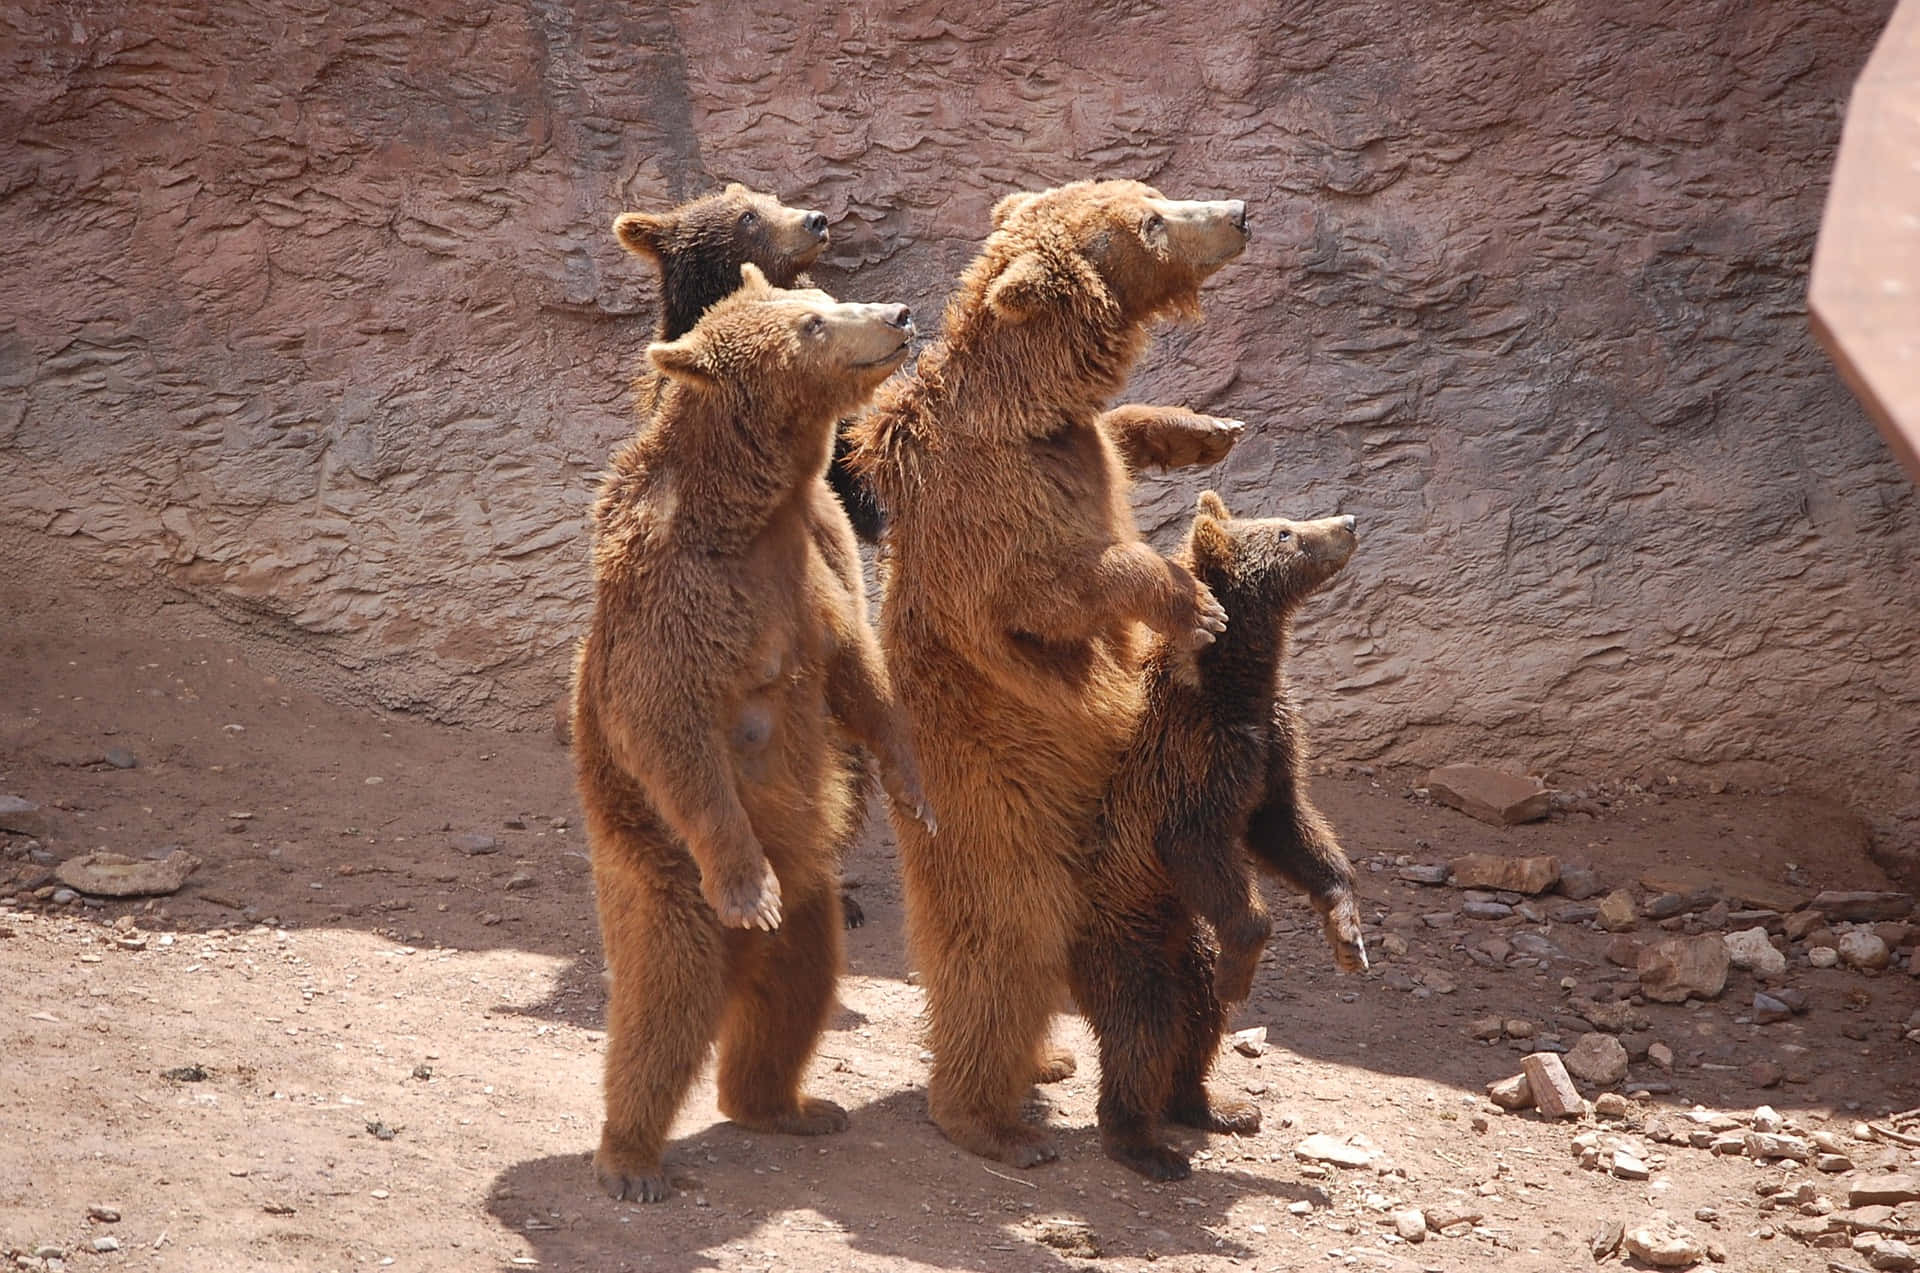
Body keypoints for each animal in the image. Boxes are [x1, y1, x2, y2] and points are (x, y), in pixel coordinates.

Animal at [573, 264, 930, 1203]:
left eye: (825, 298)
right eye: (812, 324)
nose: (898, 312)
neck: (753, 510)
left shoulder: (818, 558)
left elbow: (858, 668)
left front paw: (915, 786)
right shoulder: (674, 587)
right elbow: (664, 721)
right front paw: (747, 886)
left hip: (811, 901)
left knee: (796, 989)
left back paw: (788, 1104)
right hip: (657, 871)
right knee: (664, 1003)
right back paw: (630, 1157)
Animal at [845, 178, 1251, 1169]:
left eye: (1153, 194)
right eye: (1152, 221)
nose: (1239, 213)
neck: (1031, 412)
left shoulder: (1077, 445)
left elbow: (1119, 430)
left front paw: (1205, 426)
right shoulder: (998, 508)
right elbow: (1058, 589)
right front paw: (1194, 600)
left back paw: (1088, 1072)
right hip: (1005, 815)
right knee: (1001, 955)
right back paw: (992, 1120)